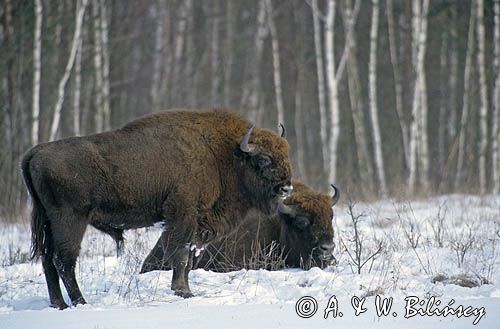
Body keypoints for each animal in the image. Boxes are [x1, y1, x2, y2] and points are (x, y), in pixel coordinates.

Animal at [21, 108, 292, 308]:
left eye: (286, 155)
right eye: (263, 160)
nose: (286, 187)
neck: (224, 153)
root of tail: (35, 152)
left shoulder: (196, 223)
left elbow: (188, 256)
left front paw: (185, 289)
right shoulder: (183, 213)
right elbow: (180, 254)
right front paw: (183, 291)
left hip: (48, 221)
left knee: (47, 260)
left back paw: (59, 304)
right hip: (71, 220)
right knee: (63, 260)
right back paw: (80, 302)